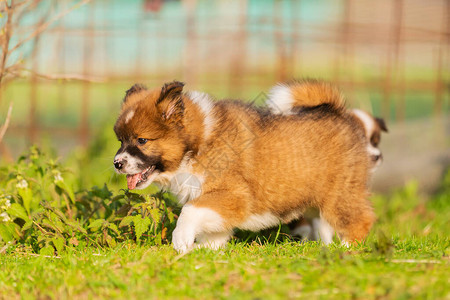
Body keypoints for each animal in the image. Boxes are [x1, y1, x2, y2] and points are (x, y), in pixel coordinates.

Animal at [114, 80, 374, 253]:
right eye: (121, 140)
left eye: (142, 140)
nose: (117, 164)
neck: (198, 145)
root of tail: (338, 113)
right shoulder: (216, 201)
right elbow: (214, 230)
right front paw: (205, 250)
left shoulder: (235, 195)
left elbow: (190, 212)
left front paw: (181, 240)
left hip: (340, 194)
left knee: (361, 220)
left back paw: (346, 249)